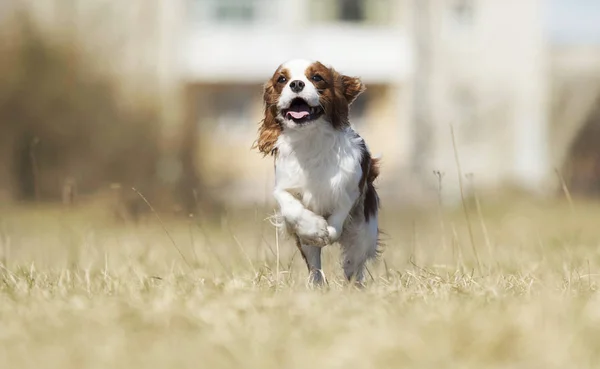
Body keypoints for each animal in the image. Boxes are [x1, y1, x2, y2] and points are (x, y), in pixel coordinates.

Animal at [253, 59, 380, 284]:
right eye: (282, 79)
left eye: (317, 77)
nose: (296, 84)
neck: (310, 138)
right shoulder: (284, 187)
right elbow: (291, 208)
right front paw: (317, 229)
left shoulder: (350, 187)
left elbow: (339, 216)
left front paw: (329, 231)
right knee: (314, 265)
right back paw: (317, 283)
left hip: (365, 230)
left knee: (355, 262)